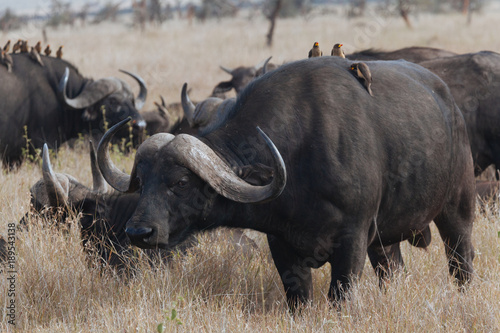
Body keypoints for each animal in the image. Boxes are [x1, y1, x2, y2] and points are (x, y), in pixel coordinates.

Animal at [98, 55, 476, 308]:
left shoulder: (352, 239)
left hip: (457, 208)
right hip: (385, 238)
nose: (138, 232)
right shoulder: (282, 244)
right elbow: (298, 299)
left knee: (461, 259)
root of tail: (450, 104)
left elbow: (340, 297)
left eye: (180, 182)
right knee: (392, 269)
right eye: (142, 180)